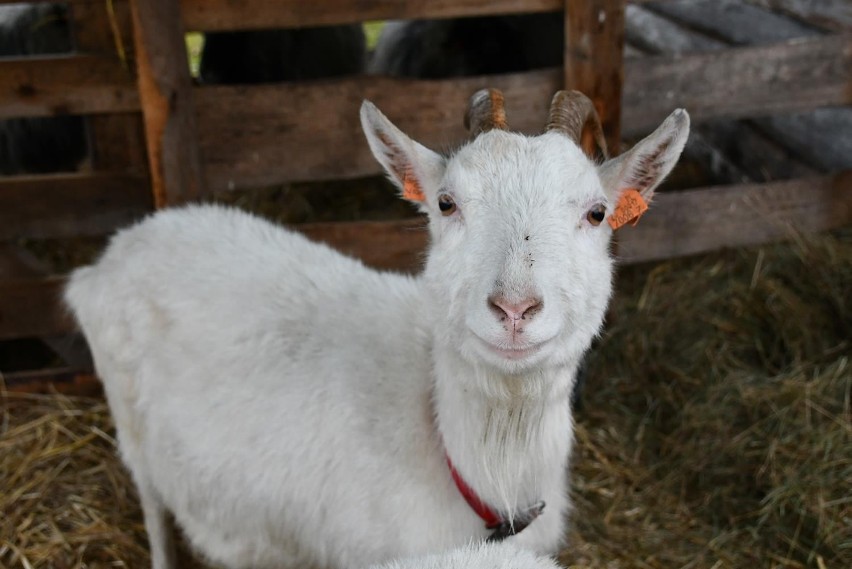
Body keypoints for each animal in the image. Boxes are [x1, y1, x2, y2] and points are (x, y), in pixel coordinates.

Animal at [66, 89, 688, 568]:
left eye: (596, 213)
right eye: (446, 204)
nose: (514, 309)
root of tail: (114, 251)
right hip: (128, 419)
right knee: (152, 505)